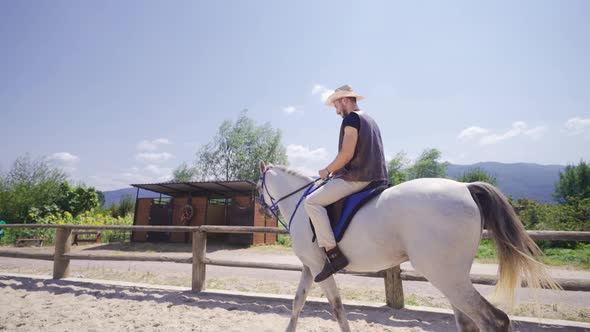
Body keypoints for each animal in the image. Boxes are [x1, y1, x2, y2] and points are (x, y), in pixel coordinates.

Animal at [258, 160, 560, 330]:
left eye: (259, 186)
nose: (262, 208)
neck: (302, 204)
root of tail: (464, 187)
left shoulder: (319, 266)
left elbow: (337, 307)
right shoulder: (311, 267)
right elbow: (298, 303)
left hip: (444, 275)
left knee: (493, 321)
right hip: (452, 278)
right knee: (467, 321)